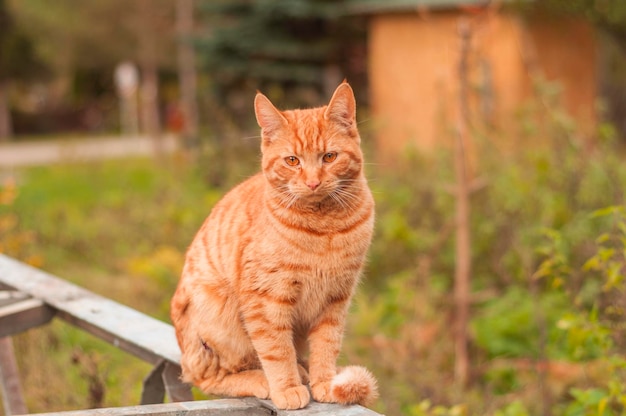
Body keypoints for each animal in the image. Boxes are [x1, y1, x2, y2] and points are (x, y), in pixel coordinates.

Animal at [169, 82, 376, 410]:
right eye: (292, 161)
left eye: (329, 157)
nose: (313, 182)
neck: (322, 228)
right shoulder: (266, 300)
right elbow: (277, 351)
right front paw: (287, 388)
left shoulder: (336, 299)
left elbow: (327, 344)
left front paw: (324, 382)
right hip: (217, 318)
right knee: (209, 378)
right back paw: (264, 380)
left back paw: (304, 370)